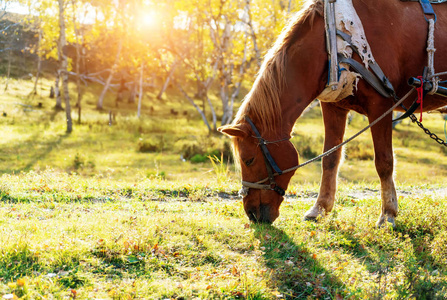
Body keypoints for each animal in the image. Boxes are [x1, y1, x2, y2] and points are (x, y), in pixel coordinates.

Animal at [219, 0, 447, 225]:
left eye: (248, 160)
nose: (252, 214)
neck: (334, 37)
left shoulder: (380, 105)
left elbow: (384, 162)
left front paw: (388, 212)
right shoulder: (333, 107)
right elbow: (330, 158)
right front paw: (321, 207)